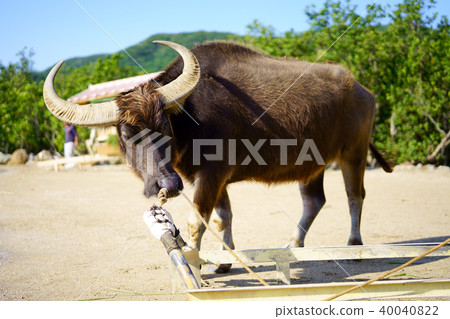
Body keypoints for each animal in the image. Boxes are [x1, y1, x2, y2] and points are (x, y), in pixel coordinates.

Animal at [44, 41, 392, 274]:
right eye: (128, 133)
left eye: (164, 125)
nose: (168, 185)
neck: (192, 117)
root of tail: (363, 91)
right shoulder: (214, 178)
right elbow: (224, 216)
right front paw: (226, 261)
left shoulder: (212, 175)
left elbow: (196, 221)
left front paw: (199, 264)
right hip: (314, 165)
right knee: (314, 201)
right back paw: (294, 243)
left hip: (354, 154)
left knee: (355, 195)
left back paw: (354, 244)